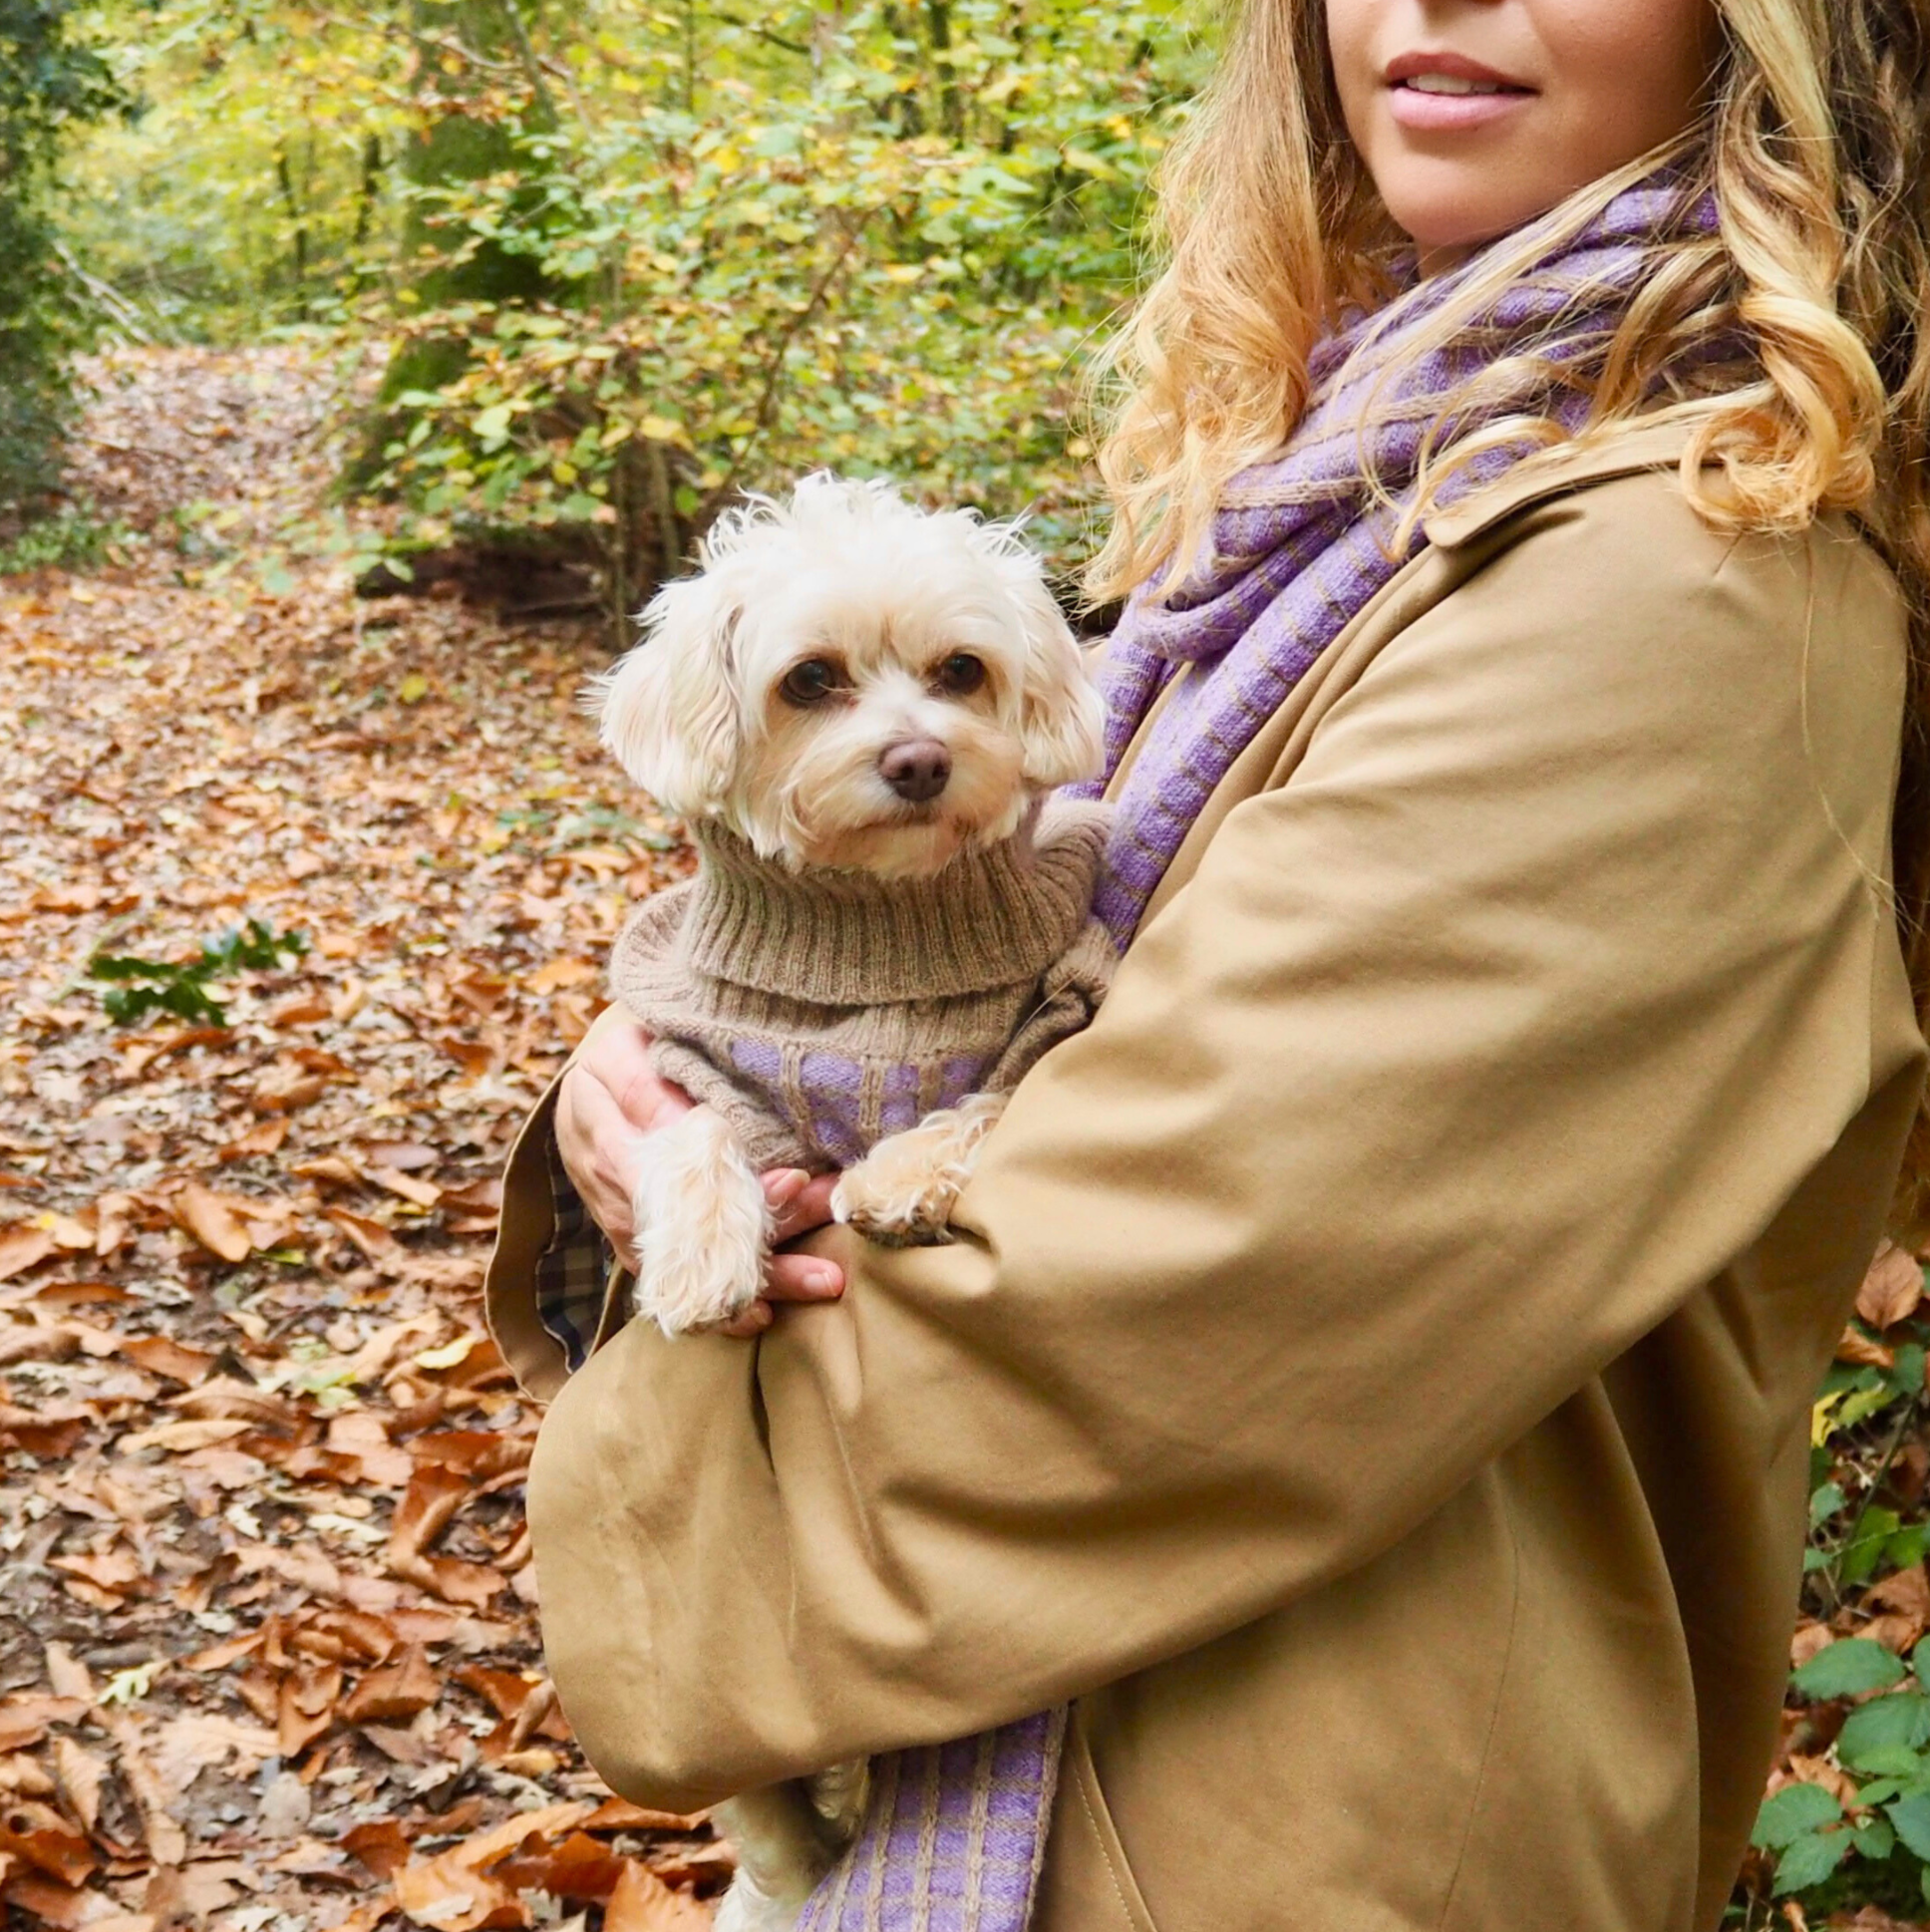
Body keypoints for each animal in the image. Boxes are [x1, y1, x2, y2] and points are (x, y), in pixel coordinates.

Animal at [587, 471, 1113, 1932]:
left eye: (961, 672)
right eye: (810, 680)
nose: (922, 759)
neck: (872, 936)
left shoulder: (1052, 1014)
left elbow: (974, 1105)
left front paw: (893, 1175)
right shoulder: (688, 1058)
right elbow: (691, 1135)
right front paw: (702, 1254)